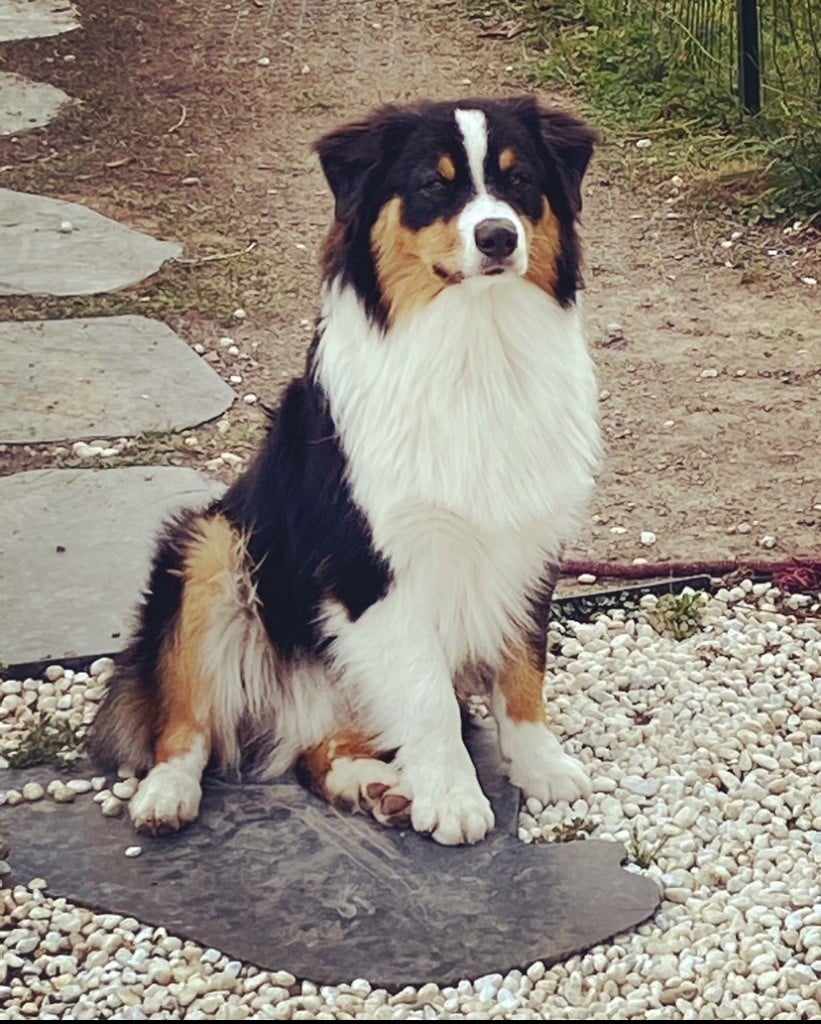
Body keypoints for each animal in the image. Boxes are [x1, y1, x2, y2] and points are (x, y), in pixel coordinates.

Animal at [88, 96, 601, 846]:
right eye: (433, 185)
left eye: (520, 180)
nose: (498, 237)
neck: (474, 346)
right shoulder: (372, 566)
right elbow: (427, 697)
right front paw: (454, 799)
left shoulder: (526, 541)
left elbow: (522, 667)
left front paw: (540, 766)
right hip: (210, 548)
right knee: (188, 725)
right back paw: (167, 793)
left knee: (318, 748)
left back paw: (377, 786)